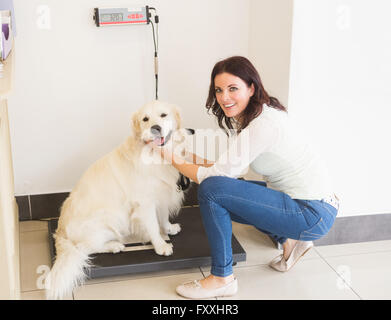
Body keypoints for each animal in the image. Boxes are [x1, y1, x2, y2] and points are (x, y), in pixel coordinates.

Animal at [46, 100, 190, 300]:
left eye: (163, 115)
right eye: (145, 119)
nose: (155, 128)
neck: (154, 155)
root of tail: (60, 232)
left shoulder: (160, 194)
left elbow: (162, 216)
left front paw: (169, 228)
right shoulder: (145, 202)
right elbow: (153, 226)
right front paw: (161, 245)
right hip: (109, 219)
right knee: (83, 249)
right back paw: (114, 246)